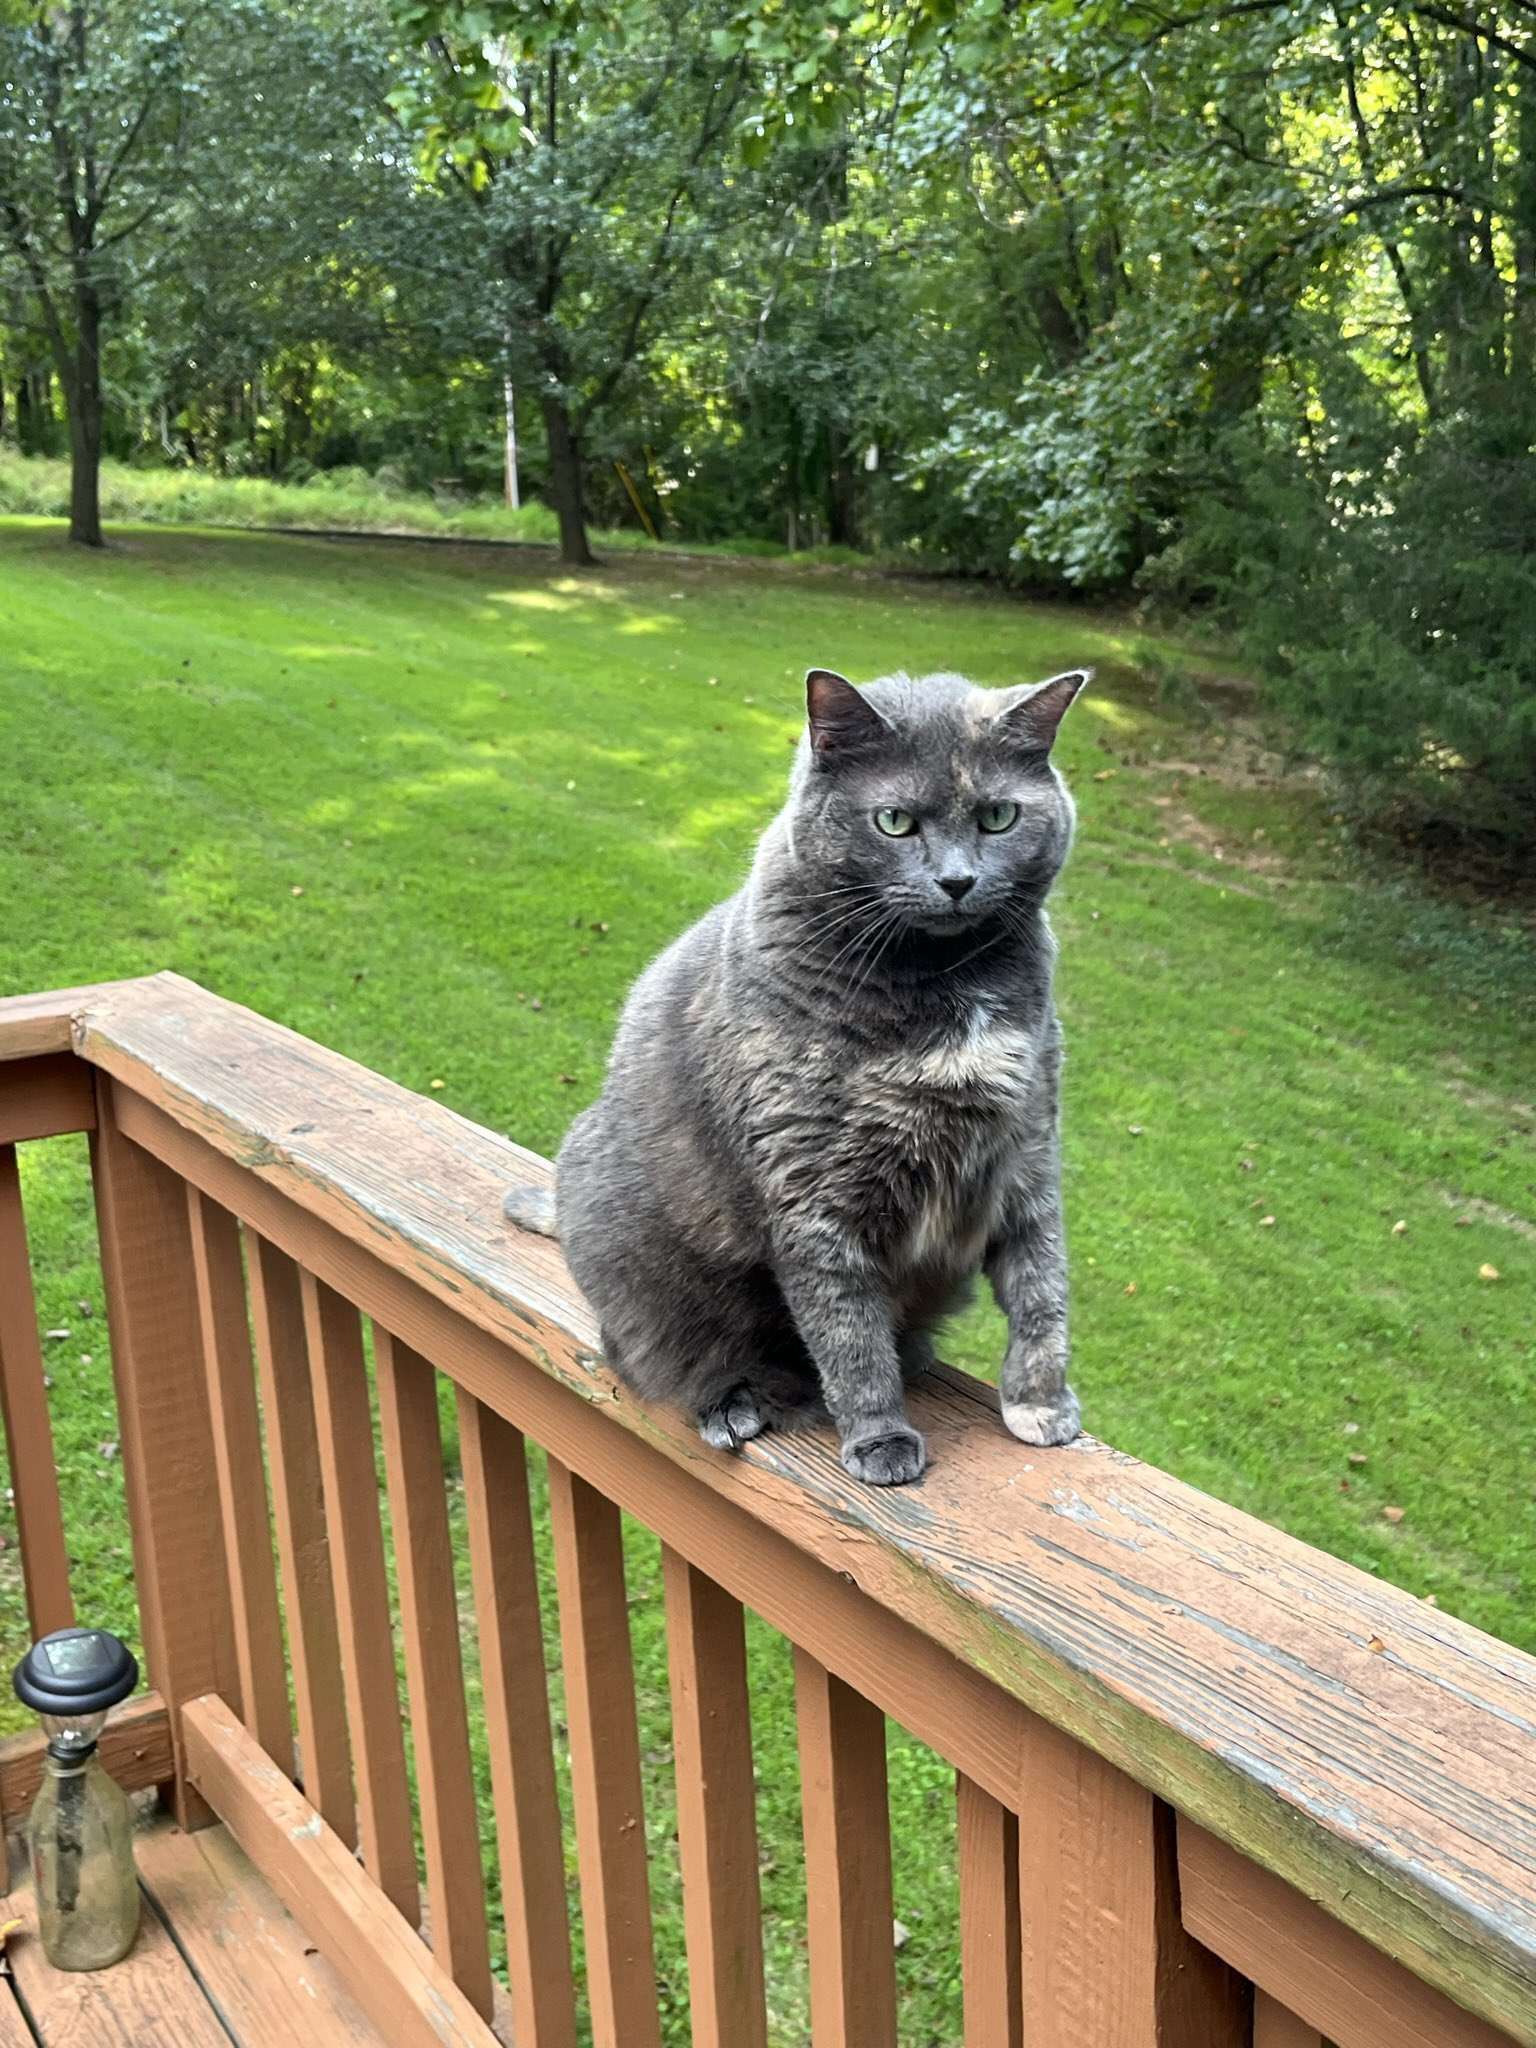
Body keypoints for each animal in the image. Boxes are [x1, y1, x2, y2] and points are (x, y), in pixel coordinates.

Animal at [512, 671, 1089, 1490]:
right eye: (894, 822)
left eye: (999, 816)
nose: (957, 880)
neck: (944, 982)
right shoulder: (812, 1183)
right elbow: (846, 1327)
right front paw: (880, 1438)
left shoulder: (1029, 1144)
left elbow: (1043, 1286)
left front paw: (1041, 1406)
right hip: (628, 1231)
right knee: (652, 1354)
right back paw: (733, 1406)